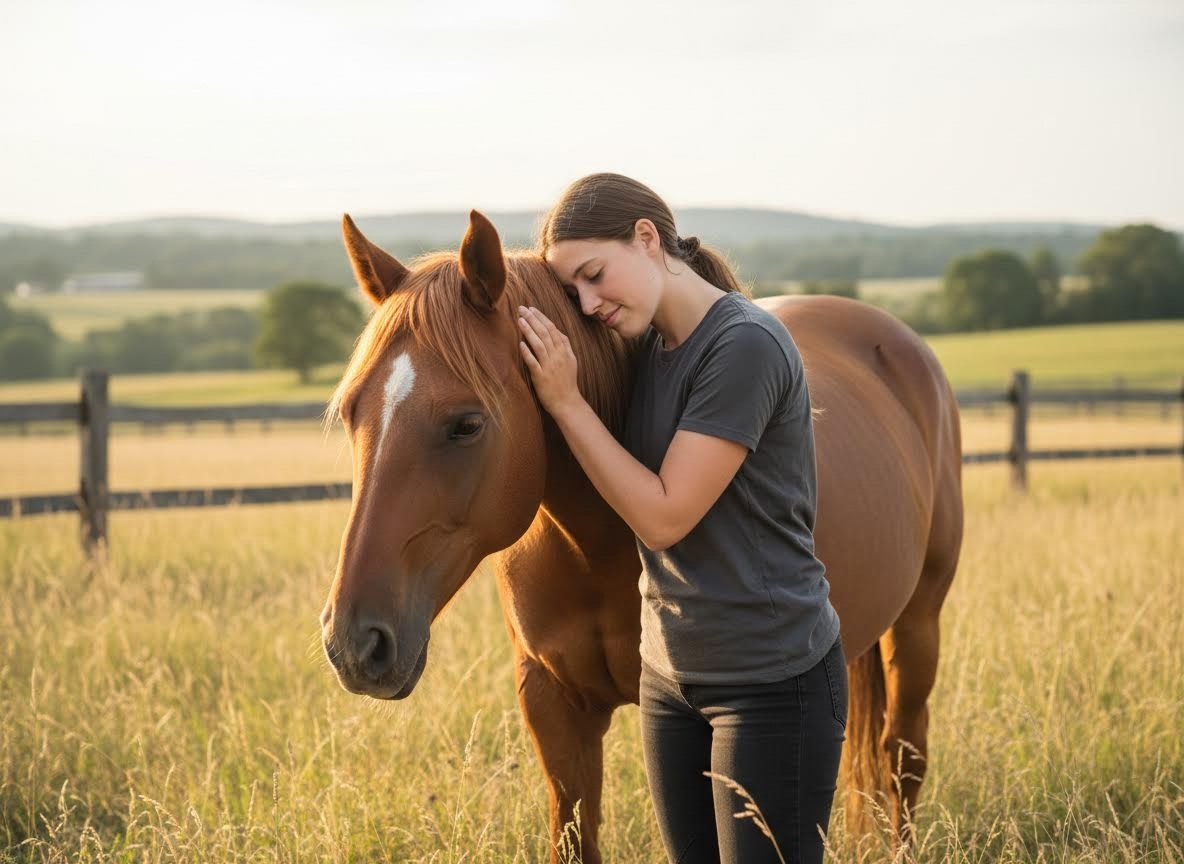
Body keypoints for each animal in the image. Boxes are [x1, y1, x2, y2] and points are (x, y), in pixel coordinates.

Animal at [319, 209, 964, 863]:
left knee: (902, 753)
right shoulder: (554, 706)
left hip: (918, 624)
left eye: (466, 424)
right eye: (351, 413)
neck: (592, 549)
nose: (354, 643)